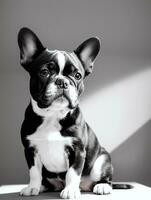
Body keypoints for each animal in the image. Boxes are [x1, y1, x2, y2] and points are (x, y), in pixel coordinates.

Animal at [17, 27, 131, 198]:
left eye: (77, 76)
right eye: (44, 72)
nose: (62, 81)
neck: (53, 115)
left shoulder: (77, 150)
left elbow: (73, 173)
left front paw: (70, 190)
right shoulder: (30, 149)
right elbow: (34, 172)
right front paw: (32, 187)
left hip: (102, 160)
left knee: (104, 179)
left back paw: (101, 186)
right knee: (47, 179)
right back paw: (43, 186)